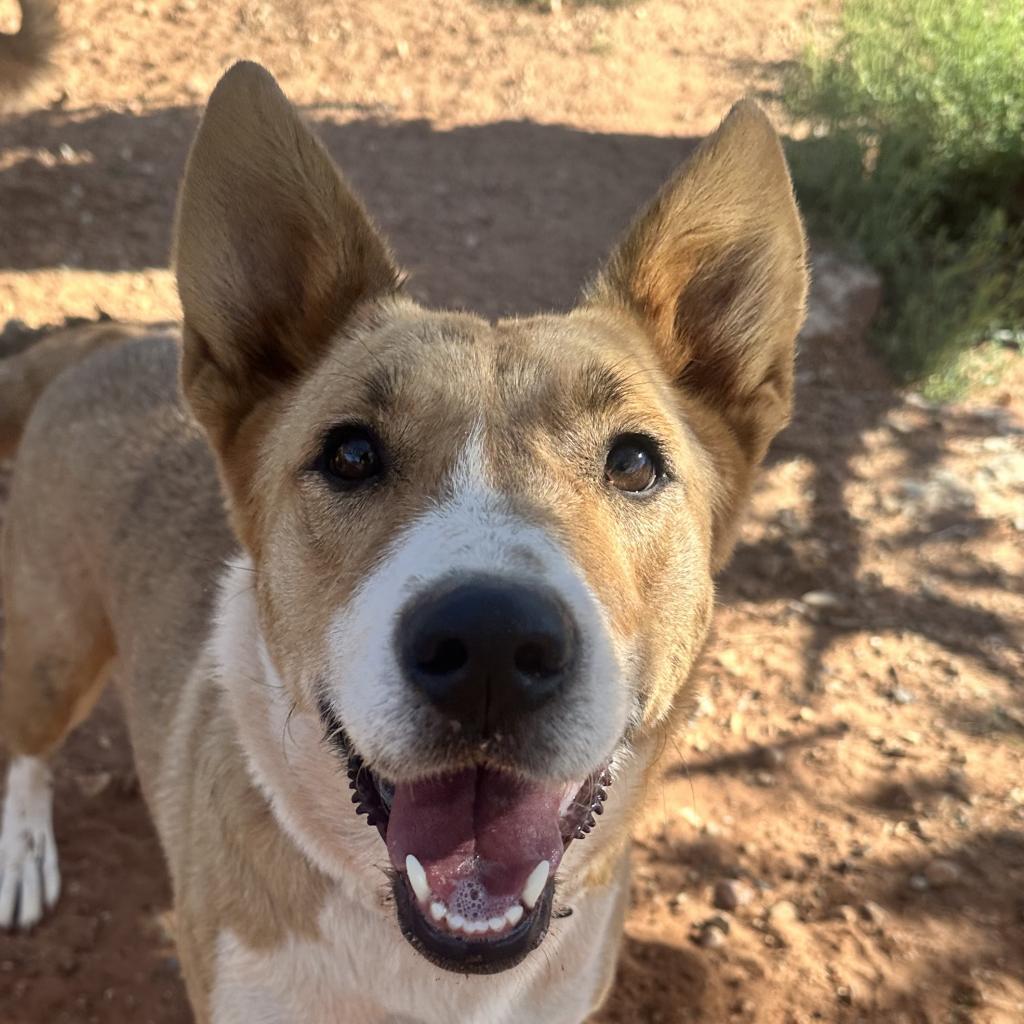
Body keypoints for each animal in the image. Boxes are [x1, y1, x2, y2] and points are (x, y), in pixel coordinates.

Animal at [0, 59, 806, 1019]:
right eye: (350, 453)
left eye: (636, 463)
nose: (493, 642)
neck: (430, 971)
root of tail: (101, 342)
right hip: (51, 650)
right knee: (26, 747)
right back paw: (24, 849)